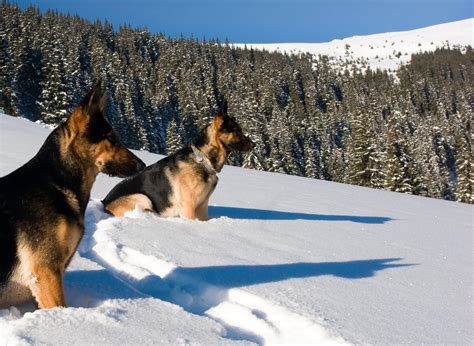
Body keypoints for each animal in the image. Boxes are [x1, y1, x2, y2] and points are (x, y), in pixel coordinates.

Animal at [102, 102, 254, 220]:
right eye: (236, 131)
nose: (254, 144)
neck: (202, 159)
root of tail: (104, 202)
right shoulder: (188, 207)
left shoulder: (203, 207)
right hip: (142, 197)